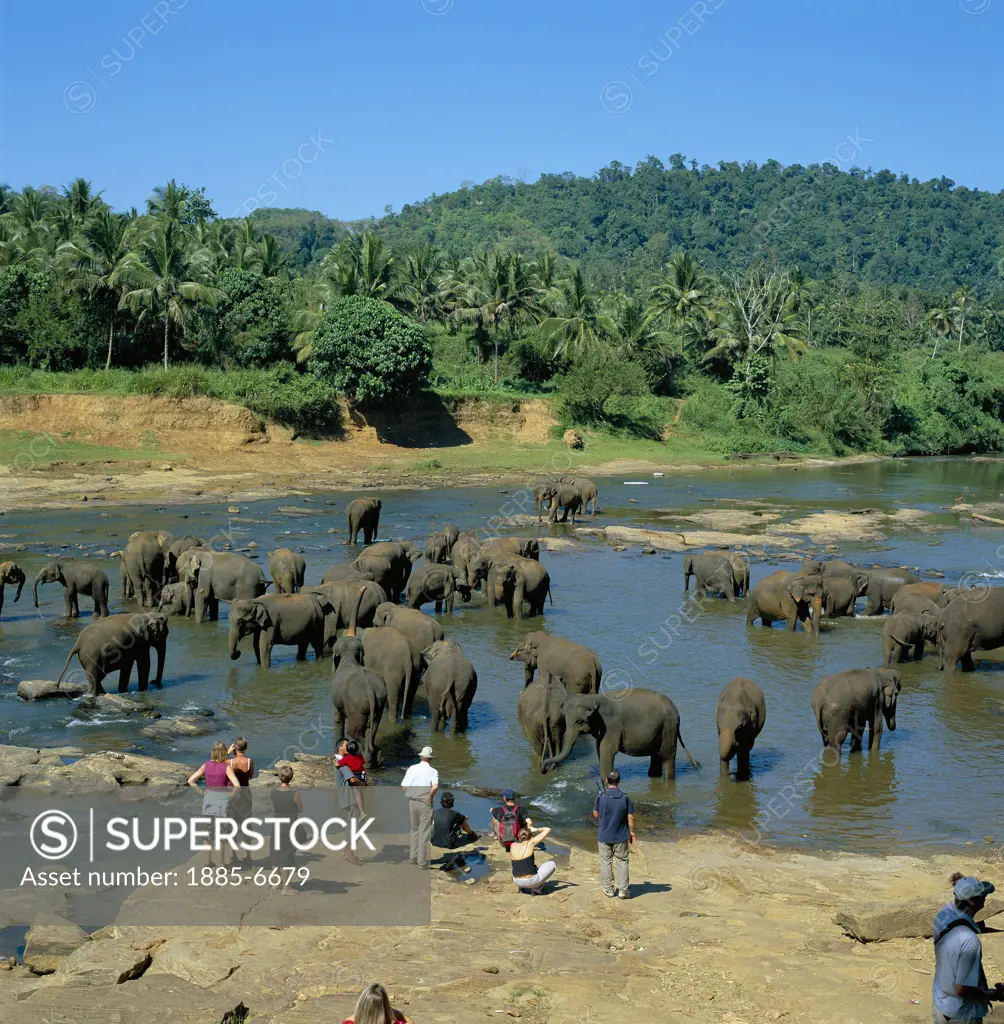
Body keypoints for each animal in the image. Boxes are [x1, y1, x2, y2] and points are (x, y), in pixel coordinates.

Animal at [333, 589, 387, 765]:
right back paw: (377, 758)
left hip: (356, 706)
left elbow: (338, 718)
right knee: (372, 729)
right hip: (378, 704)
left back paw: (369, 757)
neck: (349, 657)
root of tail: (370, 691)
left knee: (355, 732)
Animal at [540, 692, 696, 778]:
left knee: (667, 756)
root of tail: (674, 707)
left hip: (669, 727)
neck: (594, 698)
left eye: (579, 722)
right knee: (656, 756)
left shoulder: (611, 725)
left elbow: (607, 751)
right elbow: (600, 750)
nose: (544, 770)